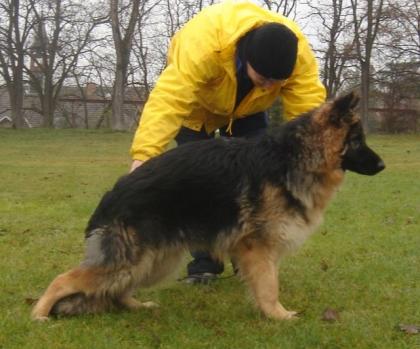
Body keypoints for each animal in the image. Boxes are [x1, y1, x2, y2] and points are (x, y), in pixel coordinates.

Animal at [32, 91, 384, 320]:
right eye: (357, 141)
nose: (382, 166)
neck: (294, 156)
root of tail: (110, 196)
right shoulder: (258, 247)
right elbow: (269, 286)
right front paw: (279, 316)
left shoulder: (260, 252)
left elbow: (265, 283)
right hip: (129, 262)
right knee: (64, 279)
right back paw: (39, 314)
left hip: (154, 262)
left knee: (116, 291)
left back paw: (138, 307)